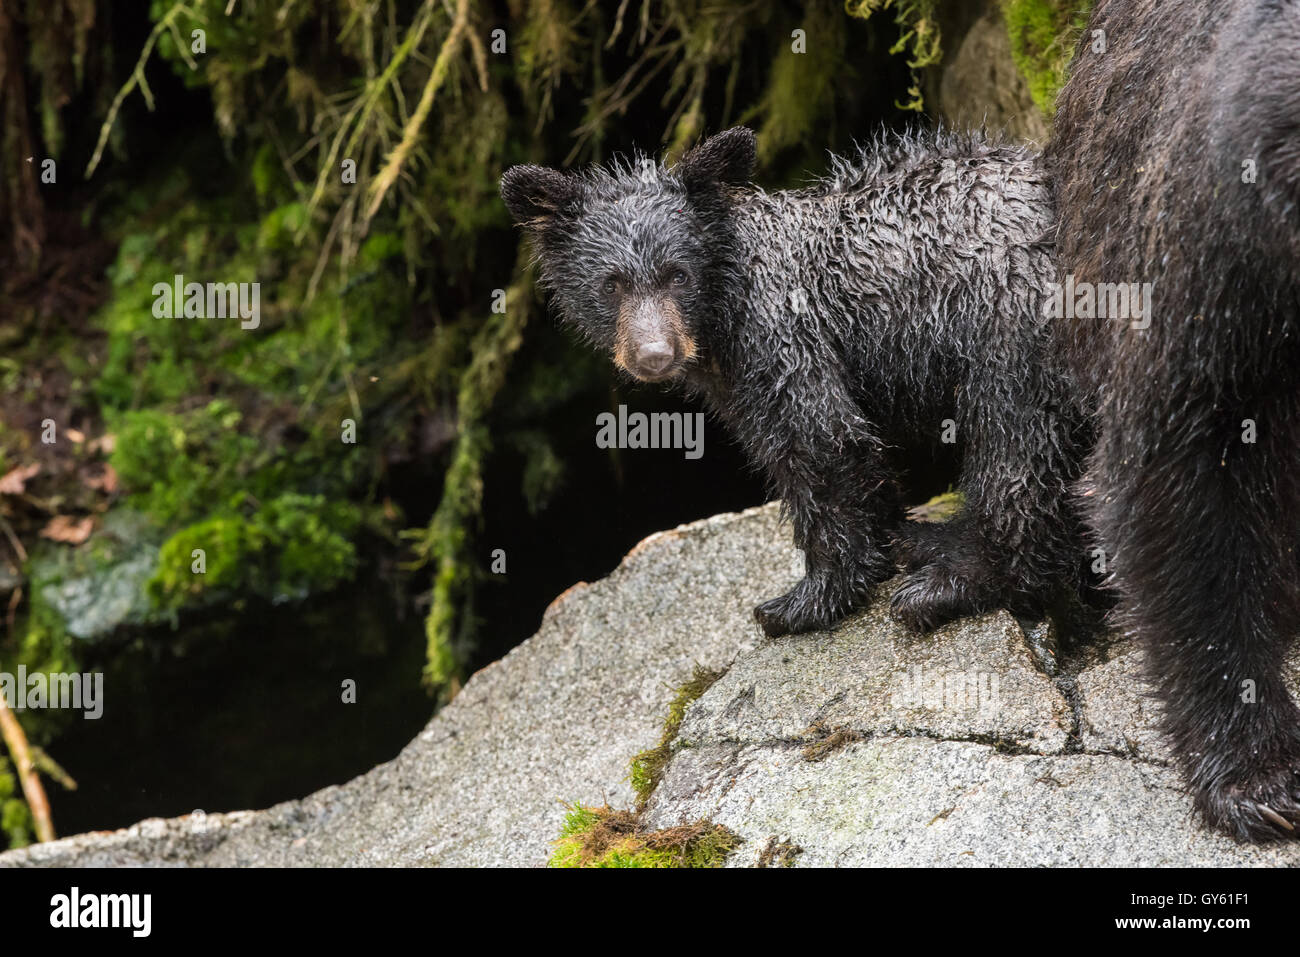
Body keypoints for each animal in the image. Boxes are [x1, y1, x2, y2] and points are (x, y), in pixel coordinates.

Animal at [502, 126, 1087, 638]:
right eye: (612, 284)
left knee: (1014, 443)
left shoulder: (782, 332)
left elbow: (819, 439)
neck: (725, 304)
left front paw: (804, 601)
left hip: (1012, 326)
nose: (654, 355)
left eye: (677, 275)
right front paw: (884, 541)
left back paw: (950, 584)